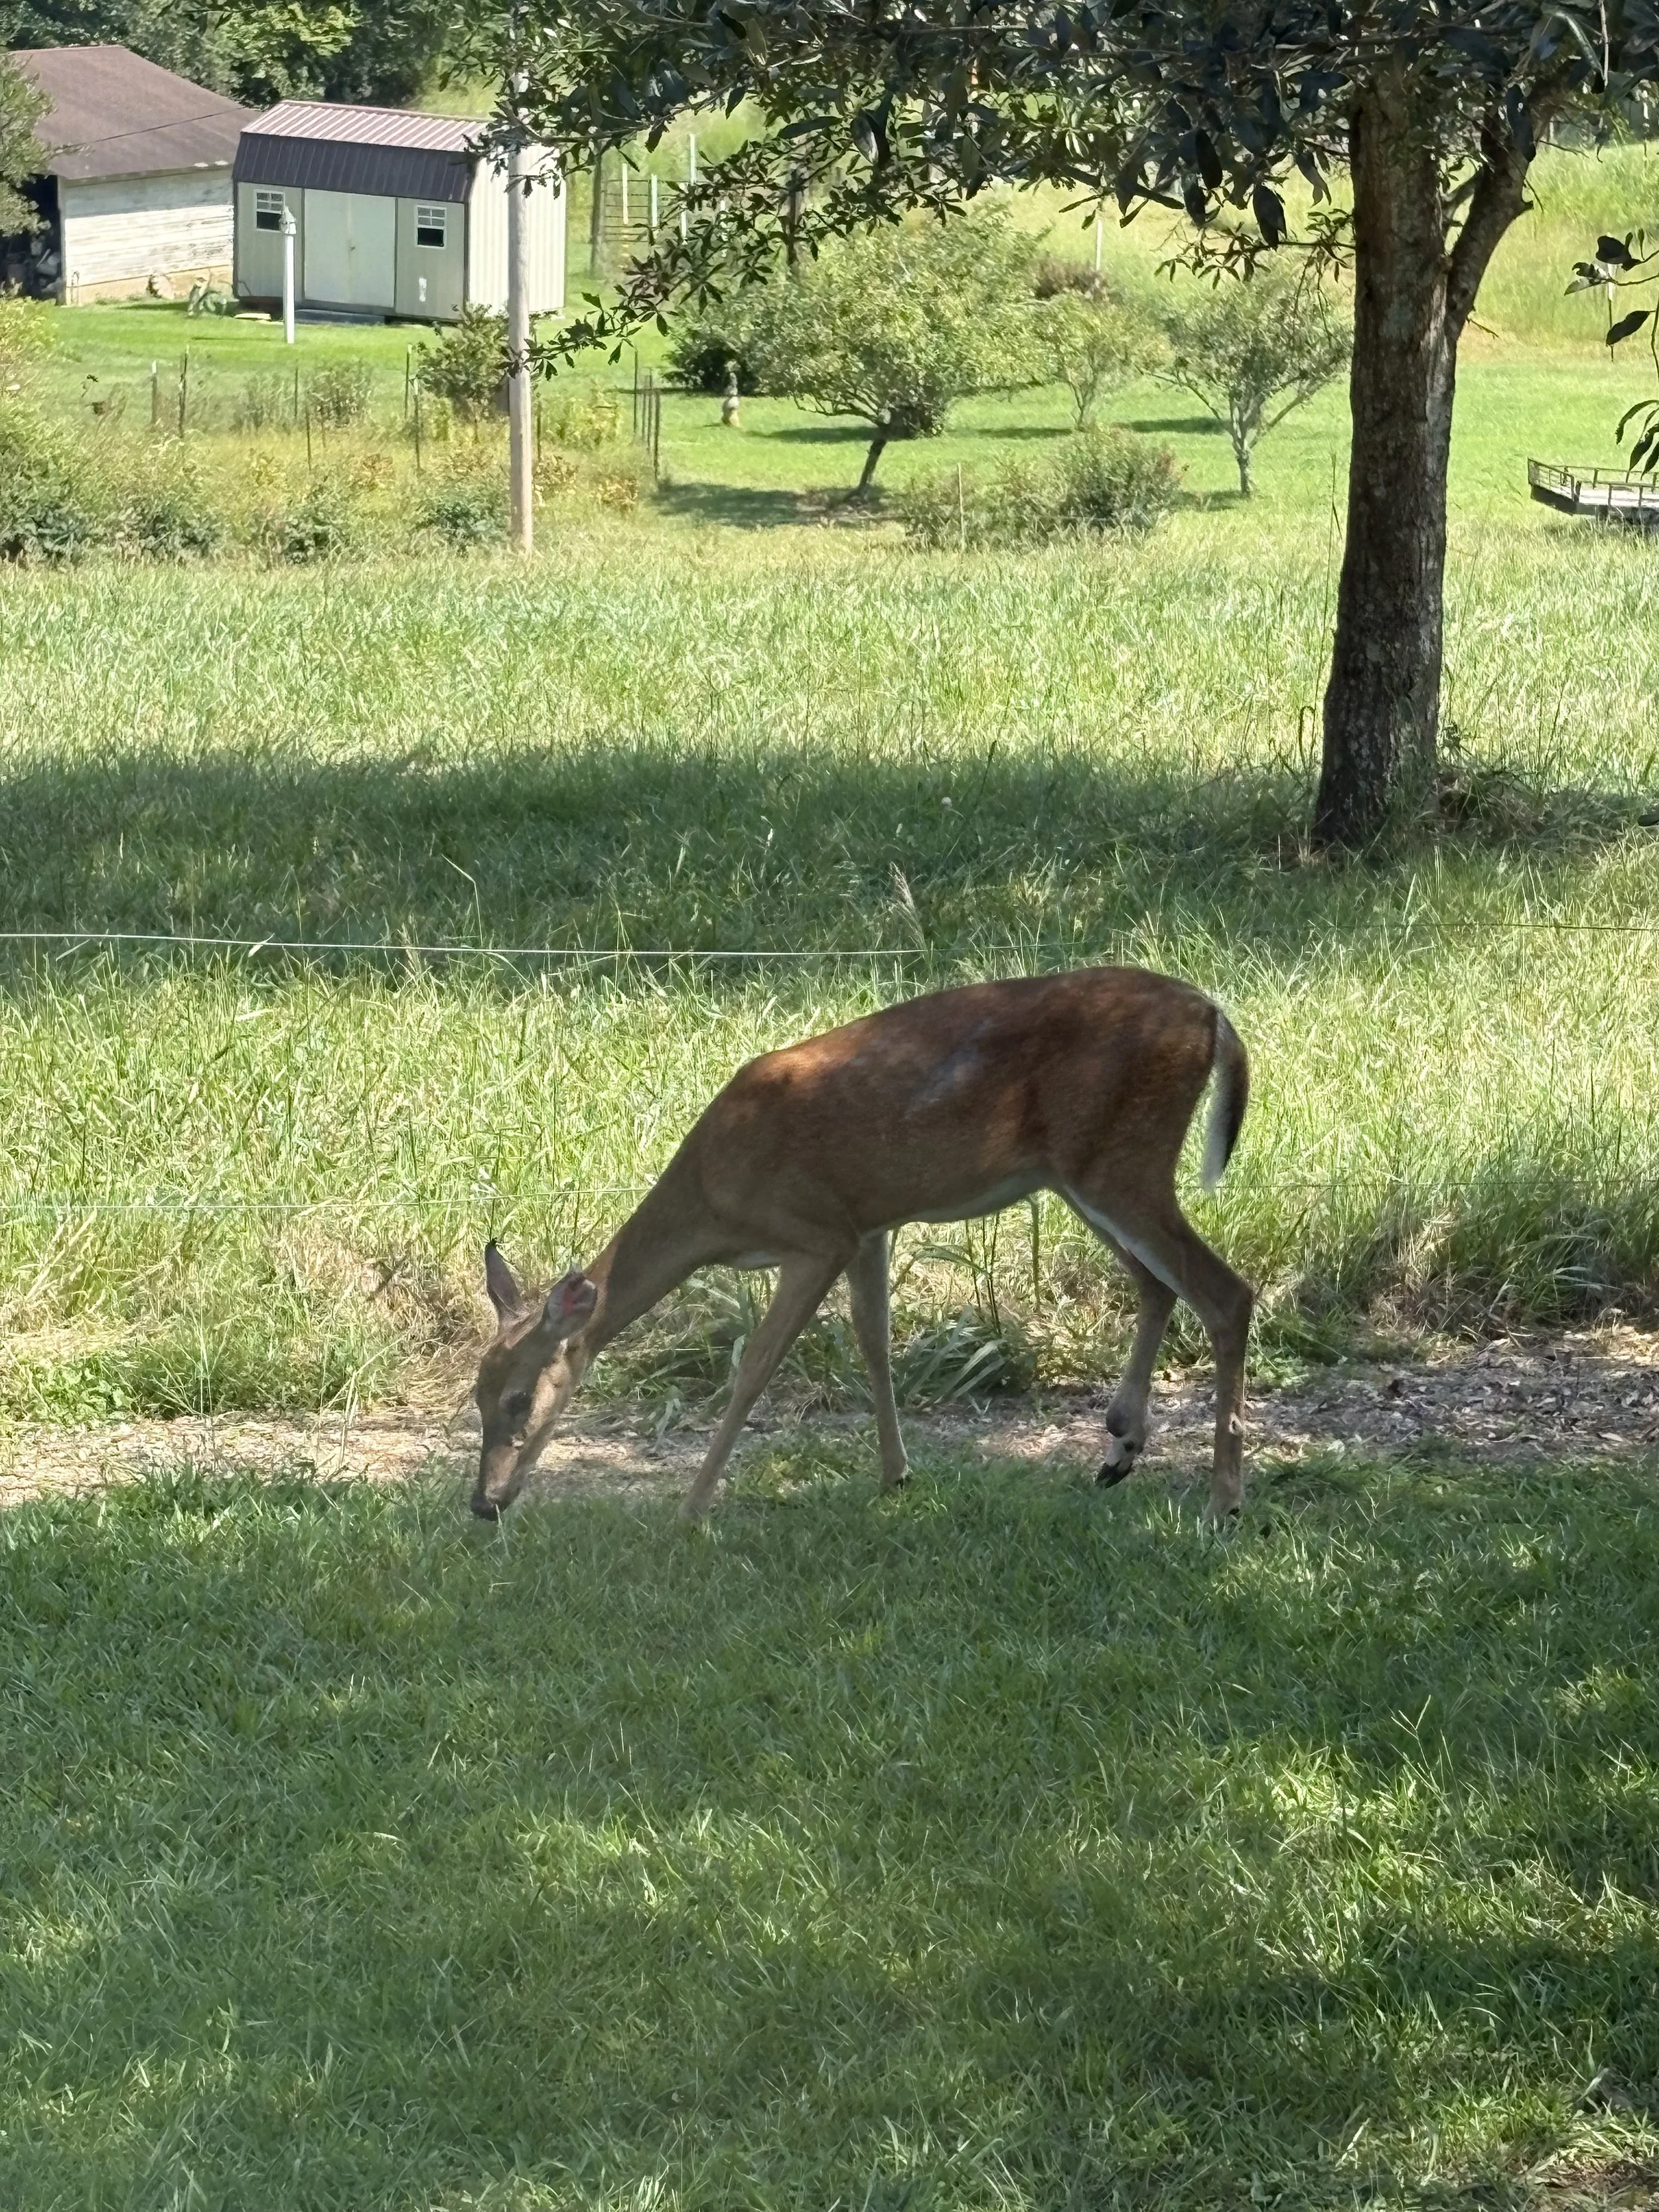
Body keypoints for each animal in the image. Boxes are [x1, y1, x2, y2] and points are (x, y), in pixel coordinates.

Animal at [471, 966, 1253, 1527]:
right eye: (474, 1397)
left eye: (518, 1398)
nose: (482, 1504)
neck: (714, 1201)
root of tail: (1213, 1014)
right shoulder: (868, 1226)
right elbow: (873, 1338)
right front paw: (894, 1475)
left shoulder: (817, 1234)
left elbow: (755, 1368)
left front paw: (691, 1509)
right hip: (1081, 1173)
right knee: (1158, 1285)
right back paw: (1120, 1452)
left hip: (1121, 1162)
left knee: (1225, 1293)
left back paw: (1223, 1502)